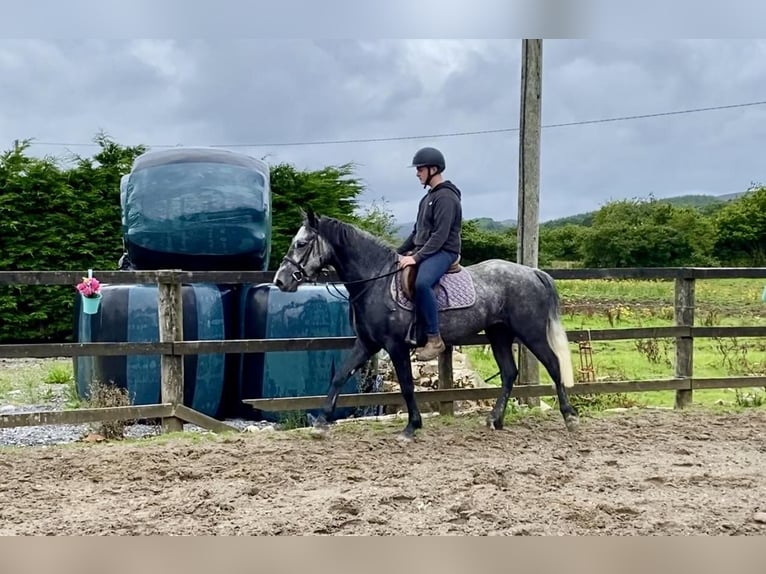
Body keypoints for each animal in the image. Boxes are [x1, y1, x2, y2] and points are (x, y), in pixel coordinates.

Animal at [272, 210, 580, 440]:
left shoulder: (395, 346)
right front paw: (321, 422)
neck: (376, 281)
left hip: (531, 332)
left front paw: (411, 427)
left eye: (301, 244)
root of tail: (532, 272)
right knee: (508, 373)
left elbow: (407, 385)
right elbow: (339, 376)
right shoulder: (367, 344)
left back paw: (569, 417)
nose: (280, 280)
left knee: (553, 365)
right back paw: (495, 419)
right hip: (499, 333)